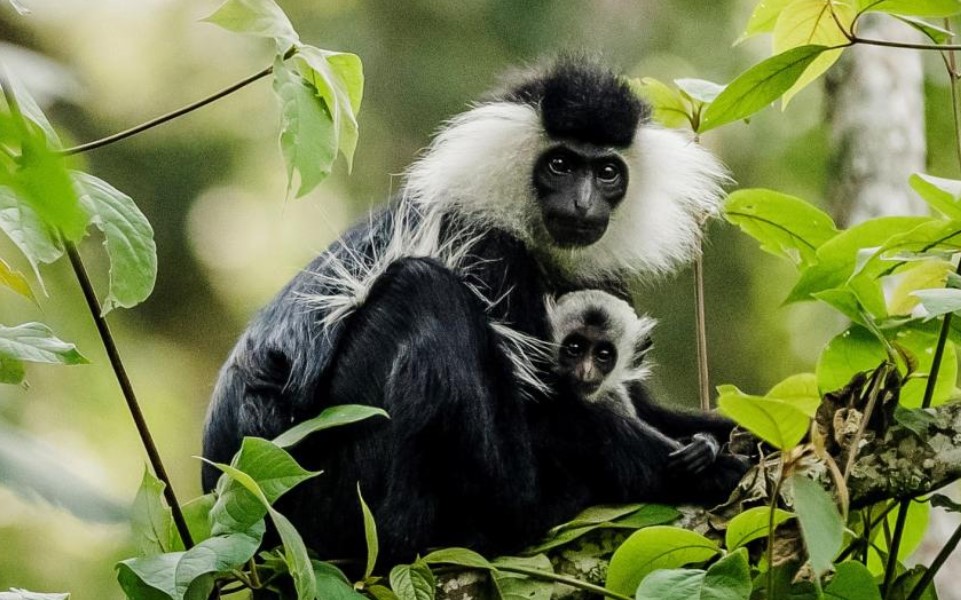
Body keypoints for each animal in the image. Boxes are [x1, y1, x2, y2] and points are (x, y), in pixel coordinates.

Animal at [202, 57, 746, 566]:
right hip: (329, 493)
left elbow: (632, 401)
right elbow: (549, 414)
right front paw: (708, 468)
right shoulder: (491, 255)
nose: (583, 203)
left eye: (607, 171)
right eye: (561, 165)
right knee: (425, 291)